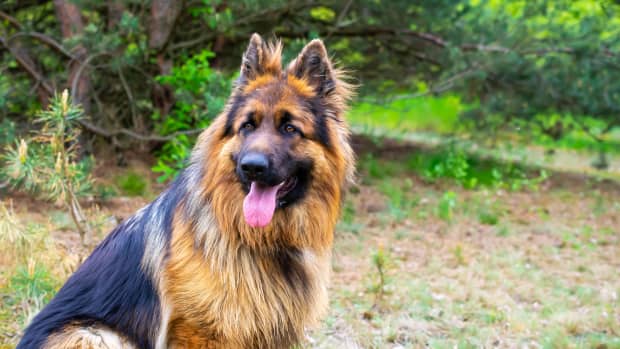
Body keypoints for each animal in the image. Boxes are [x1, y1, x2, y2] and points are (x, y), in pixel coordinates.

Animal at [17, 33, 354, 348]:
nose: (252, 167)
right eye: (248, 126)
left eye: (289, 128)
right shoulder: (198, 331)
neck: (261, 240)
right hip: (96, 334)